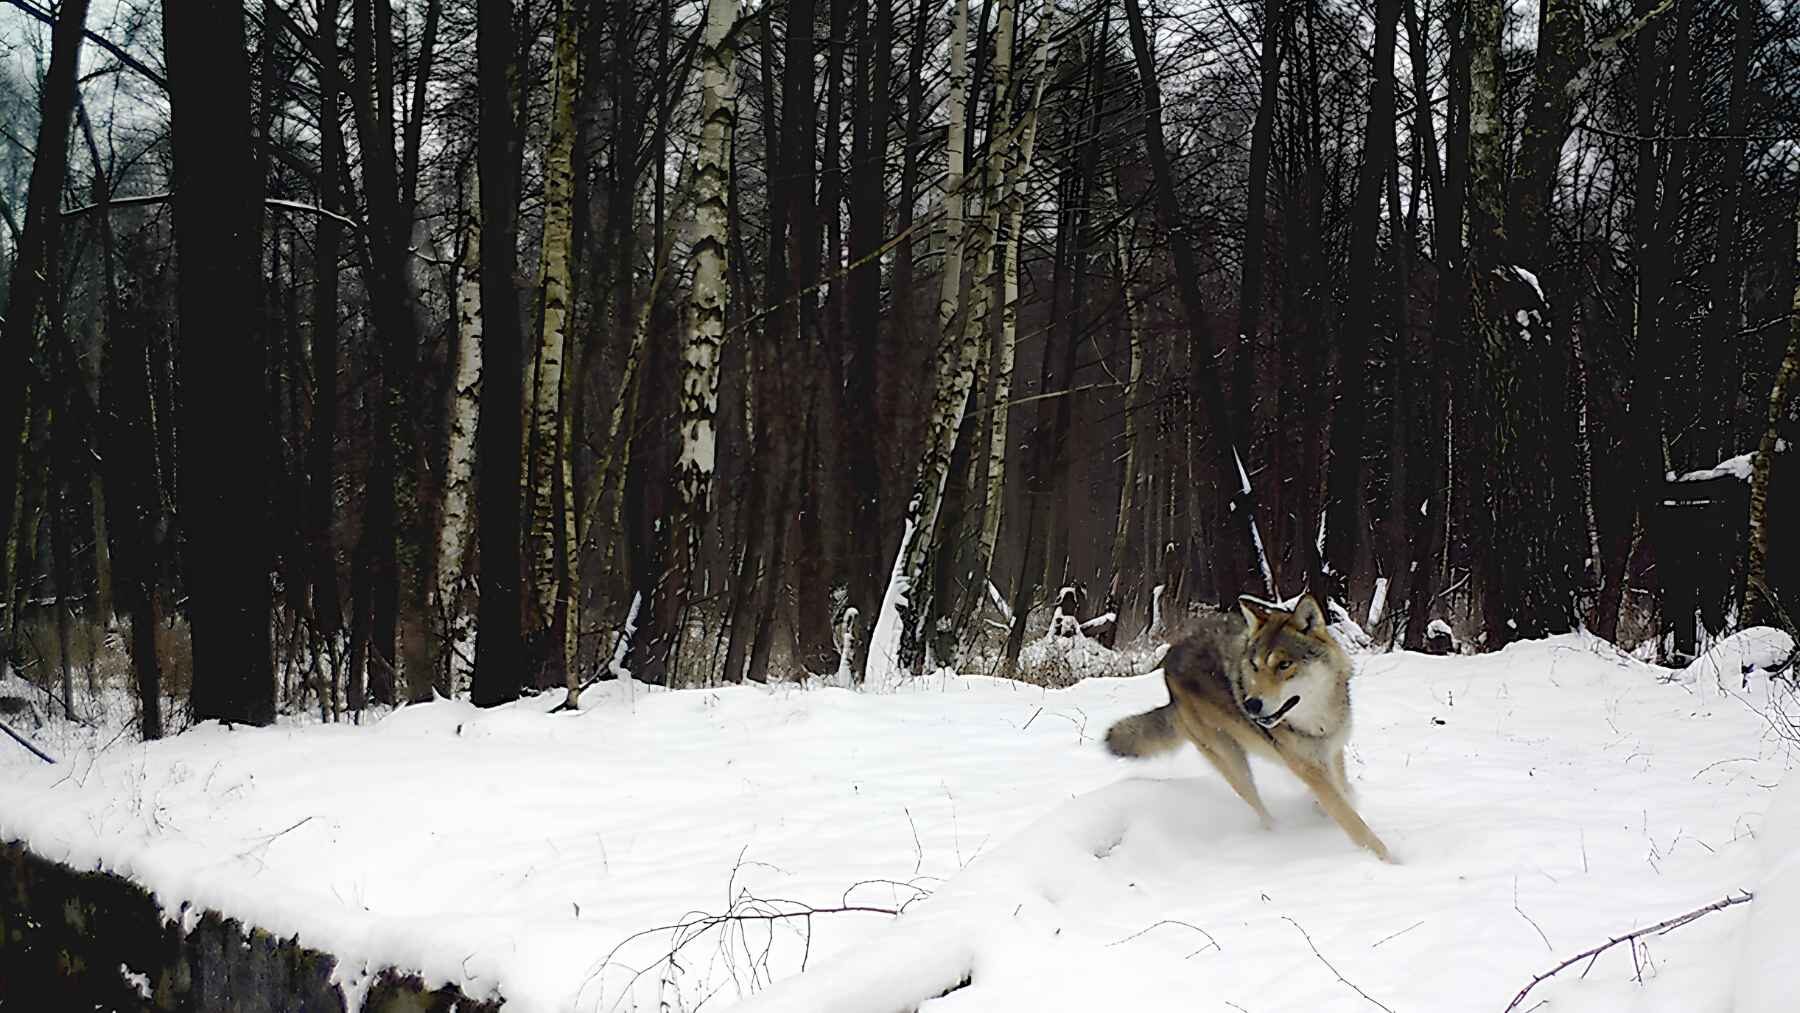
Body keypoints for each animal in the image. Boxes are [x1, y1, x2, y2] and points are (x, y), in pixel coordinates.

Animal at [1105, 594, 1392, 862]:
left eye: (1284, 665)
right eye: (1255, 666)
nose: (1250, 704)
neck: (1318, 721)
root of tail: (1168, 667)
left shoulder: (1332, 751)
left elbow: (1344, 792)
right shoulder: (1307, 768)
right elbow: (1352, 821)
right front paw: (1390, 861)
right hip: (1233, 762)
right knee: (1259, 807)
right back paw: (1278, 834)